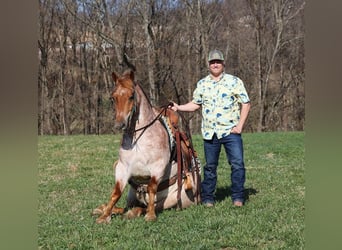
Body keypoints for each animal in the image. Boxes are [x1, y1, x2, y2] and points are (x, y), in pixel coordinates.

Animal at [92, 69, 202, 223]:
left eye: (131, 96)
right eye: (112, 98)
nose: (120, 125)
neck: (138, 139)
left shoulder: (158, 166)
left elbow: (151, 187)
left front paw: (150, 215)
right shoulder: (122, 168)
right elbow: (116, 192)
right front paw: (104, 216)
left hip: (172, 200)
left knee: (149, 206)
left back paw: (136, 212)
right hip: (132, 197)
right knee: (125, 207)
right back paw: (104, 209)